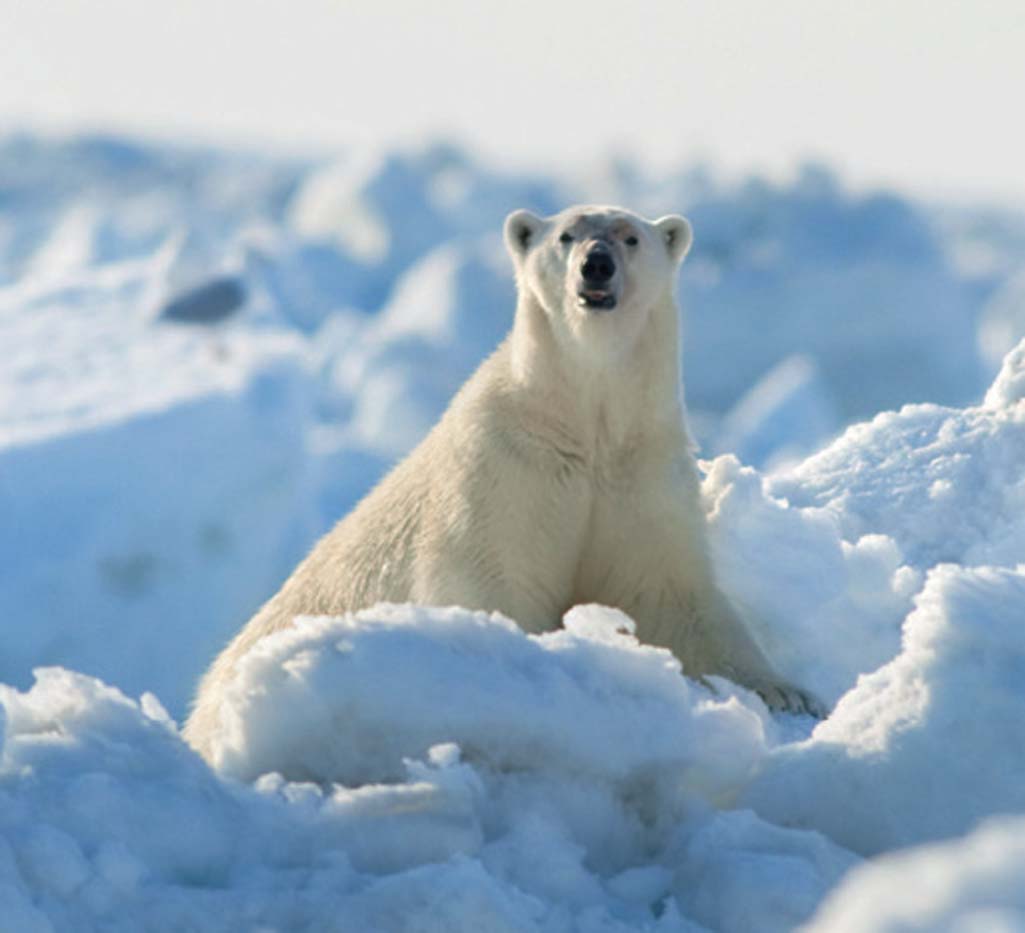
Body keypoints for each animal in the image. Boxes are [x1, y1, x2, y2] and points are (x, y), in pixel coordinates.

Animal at [184, 205, 818, 761]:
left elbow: (670, 597)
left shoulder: (640, 475)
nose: (596, 265)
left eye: (630, 235)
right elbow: (496, 581)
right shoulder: (505, 470)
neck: (584, 427)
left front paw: (787, 693)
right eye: (566, 235)